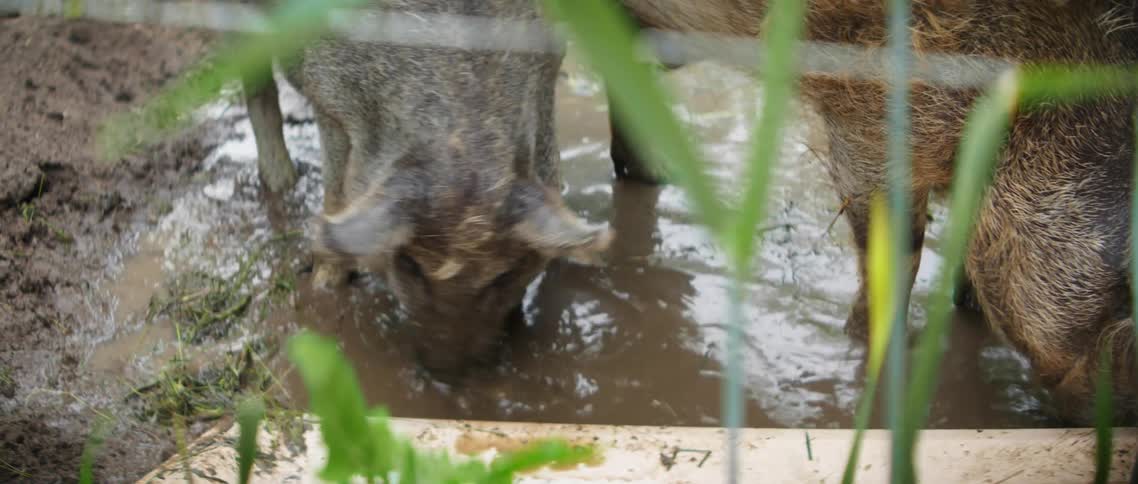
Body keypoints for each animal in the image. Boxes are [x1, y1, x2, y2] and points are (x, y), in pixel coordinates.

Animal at [242, 0, 613, 371]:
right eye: (410, 265)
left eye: (503, 275)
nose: (448, 373)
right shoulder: (325, 91)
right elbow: (336, 189)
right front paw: (325, 284)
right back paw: (281, 180)